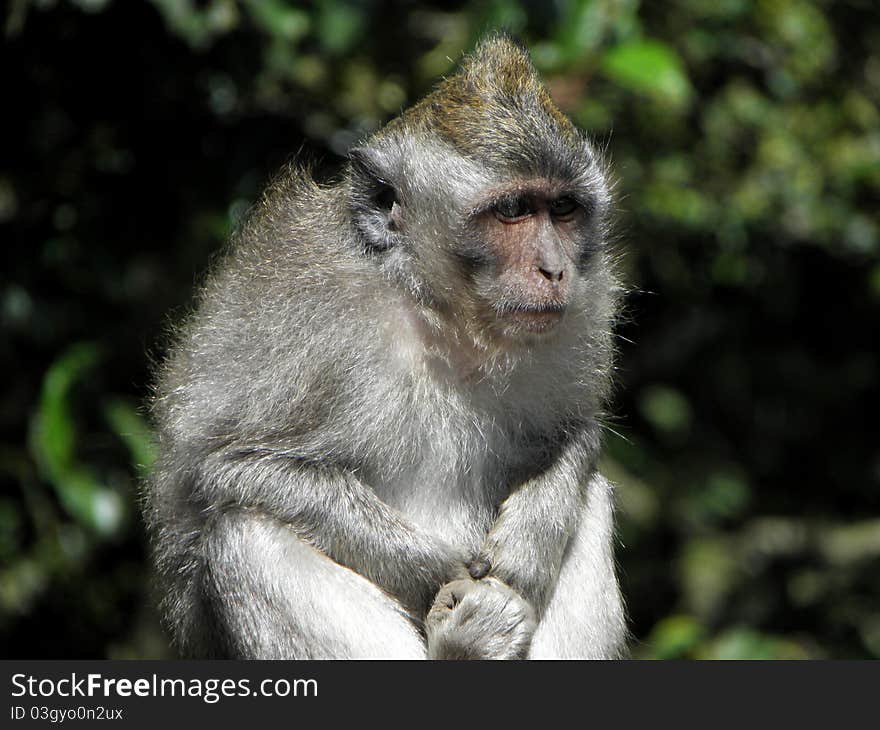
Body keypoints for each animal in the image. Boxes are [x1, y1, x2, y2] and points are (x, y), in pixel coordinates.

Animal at [144, 34, 624, 660]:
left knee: (591, 502)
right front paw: (435, 569)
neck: (438, 315)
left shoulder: (581, 318)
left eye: (563, 209)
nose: (555, 269)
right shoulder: (299, 318)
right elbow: (220, 473)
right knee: (243, 531)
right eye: (514, 210)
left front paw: (528, 544)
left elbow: (576, 433)